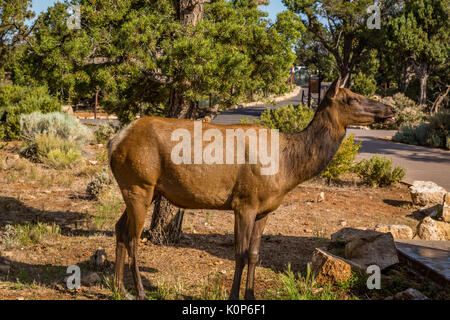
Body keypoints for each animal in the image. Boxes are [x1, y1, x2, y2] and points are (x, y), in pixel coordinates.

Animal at [108, 79, 394, 298]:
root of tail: (114, 141)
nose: (390, 109)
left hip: (144, 189)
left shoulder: (265, 209)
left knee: (119, 228)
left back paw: (120, 288)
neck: (289, 168)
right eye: (352, 98)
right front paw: (234, 295)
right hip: (139, 184)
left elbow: (255, 254)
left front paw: (251, 294)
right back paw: (139, 292)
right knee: (133, 237)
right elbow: (241, 254)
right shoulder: (244, 202)